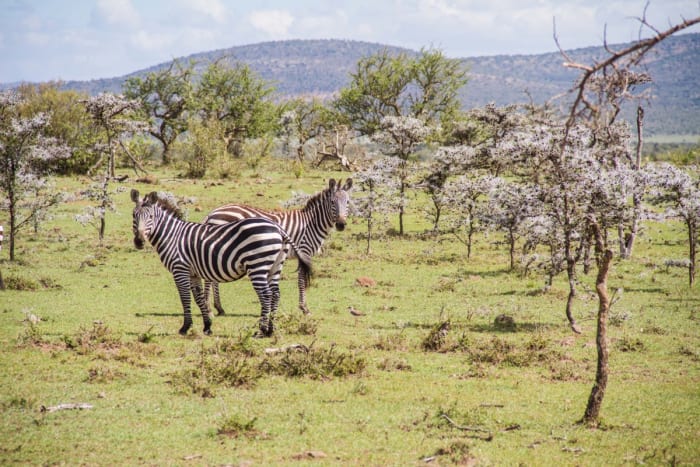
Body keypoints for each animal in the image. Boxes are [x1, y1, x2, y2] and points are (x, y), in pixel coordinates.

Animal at [131, 189, 311, 337]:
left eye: (151, 217)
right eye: (134, 215)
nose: (139, 241)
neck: (172, 236)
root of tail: (277, 228)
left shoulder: (179, 269)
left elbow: (185, 298)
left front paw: (185, 327)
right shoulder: (193, 272)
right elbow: (199, 297)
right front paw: (207, 326)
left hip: (257, 265)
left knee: (266, 295)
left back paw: (261, 330)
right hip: (275, 266)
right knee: (275, 294)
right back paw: (271, 330)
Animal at [203, 178, 352, 316]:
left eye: (348, 202)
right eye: (332, 202)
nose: (341, 224)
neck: (312, 223)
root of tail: (212, 213)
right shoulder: (304, 251)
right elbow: (302, 280)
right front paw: (304, 308)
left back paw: (219, 308)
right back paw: (210, 309)